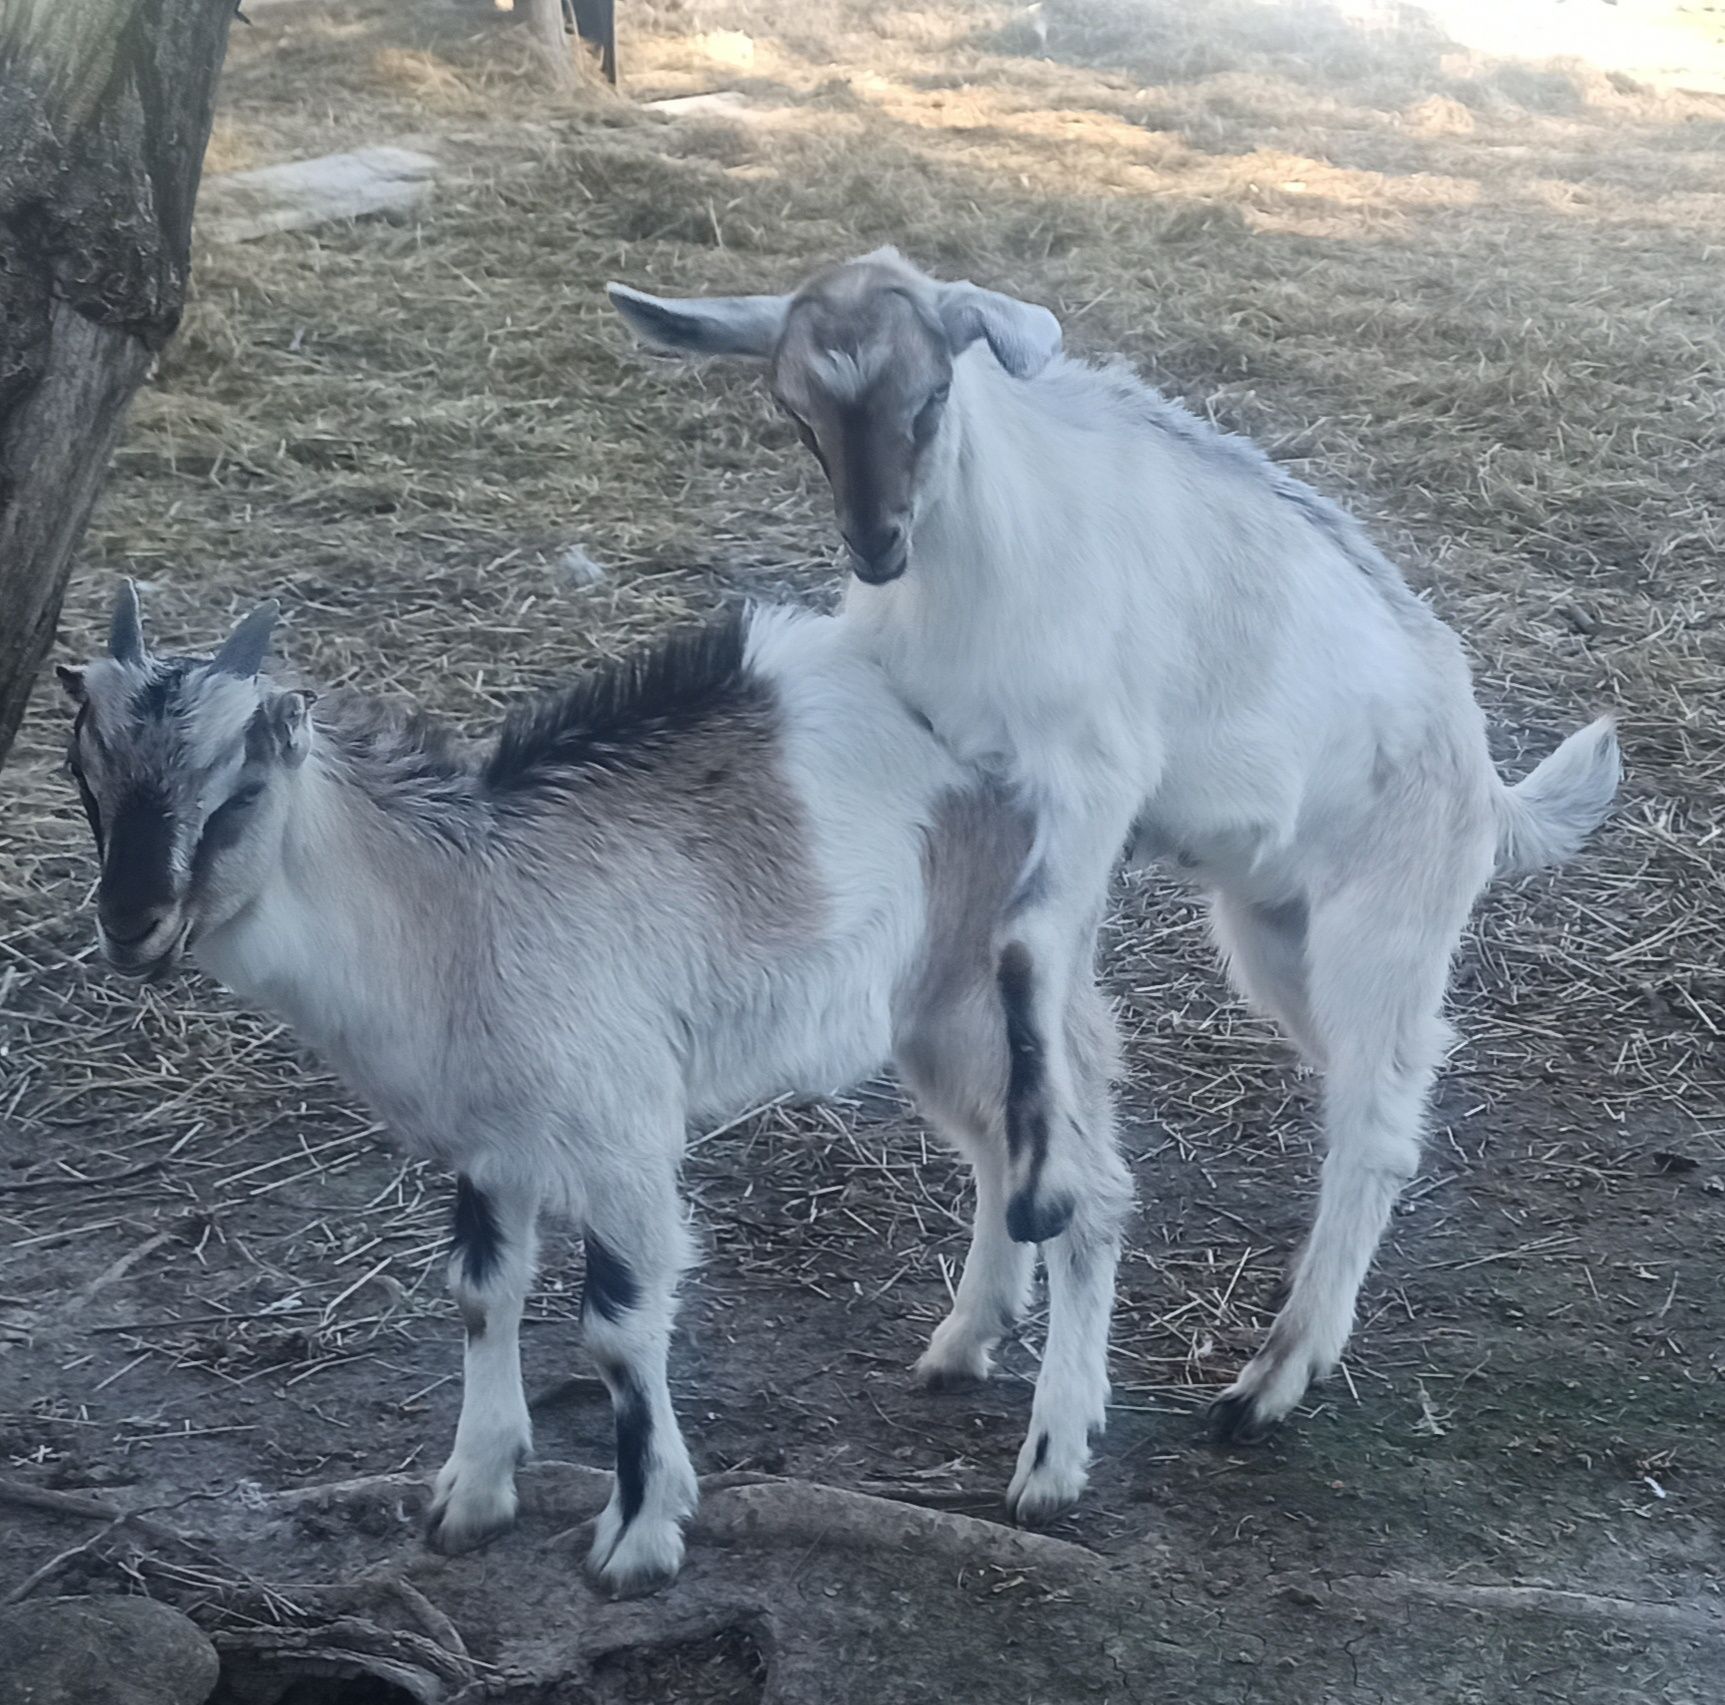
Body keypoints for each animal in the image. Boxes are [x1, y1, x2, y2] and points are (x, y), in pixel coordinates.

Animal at [57, 586, 1131, 1601]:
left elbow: (617, 1328)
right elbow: (481, 1292)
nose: (131, 924)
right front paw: (473, 1490)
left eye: (238, 791)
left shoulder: (620, 1131)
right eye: (84, 777)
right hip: (929, 1009)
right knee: (1003, 1155)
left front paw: (641, 1534)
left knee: (1088, 1188)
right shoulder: (491, 1139)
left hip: (1003, 982)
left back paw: (1051, 1460)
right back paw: (963, 1341)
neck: (459, 912)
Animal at [614, 253, 1621, 1449]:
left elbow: (1024, 953)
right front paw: (989, 1300)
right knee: (1385, 1087)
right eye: (795, 410)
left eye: (932, 394)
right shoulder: (966, 771)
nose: (875, 541)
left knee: (1373, 1120)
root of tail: (1481, 777)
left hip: (1384, 921)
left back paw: (1271, 1378)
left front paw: (1048, 1192)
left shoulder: (1093, 775)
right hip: (1274, 930)